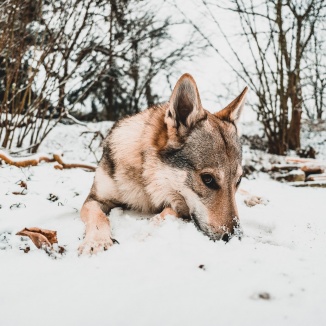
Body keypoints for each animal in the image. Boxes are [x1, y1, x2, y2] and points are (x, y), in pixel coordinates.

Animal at [79, 74, 247, 255]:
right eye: (207, 179)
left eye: (238, 181)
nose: (235, 237)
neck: (145, 181)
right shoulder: (94, 199)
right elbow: (99, 217)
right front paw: (96, 242)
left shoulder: (180, 206)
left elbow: (164, 214)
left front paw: (144, 233)